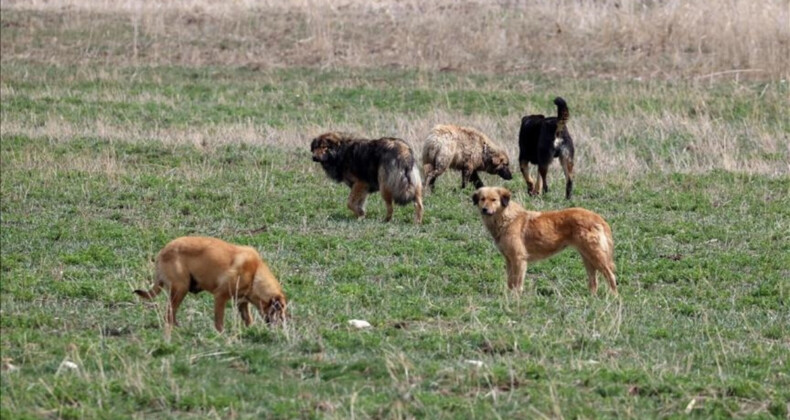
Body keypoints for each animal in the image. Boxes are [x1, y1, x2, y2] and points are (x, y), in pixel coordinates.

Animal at [135, 236, 290, 332]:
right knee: (169, 314)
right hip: (180, 289)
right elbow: (219, 321)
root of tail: (162, 252)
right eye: (280, 310)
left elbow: (248, 320)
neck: (255, 274)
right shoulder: (220, 296)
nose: (283, 326)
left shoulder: (242, 303)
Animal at [470, 187, 620, 296]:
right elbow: (510, 281)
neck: (506, 218)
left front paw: (515, 298)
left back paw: (614, 296)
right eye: (482, 199)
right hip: (587, 257)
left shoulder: (519, 259)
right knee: (594, 281)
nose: (484, 209)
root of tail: (598, 217)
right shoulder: (509, 259)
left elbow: (517, 282)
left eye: (494, 199)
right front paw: (508, 296)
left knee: (610, 275)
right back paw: (592, 298)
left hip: (595, 256)